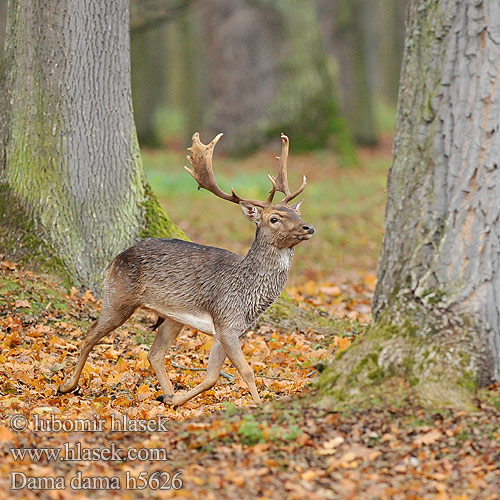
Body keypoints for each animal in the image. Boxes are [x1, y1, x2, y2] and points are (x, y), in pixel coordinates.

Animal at [58, 132, 314, 406]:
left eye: (297, 213)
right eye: (274, 218)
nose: (308, 227)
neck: (247, 295)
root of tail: (116, 258)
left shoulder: (227, 329)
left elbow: (212, 377)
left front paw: (176, 400)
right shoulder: (226, 322)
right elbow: (246, 371)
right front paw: (258, 405)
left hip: (172, 316)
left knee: (154, 353)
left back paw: (168, 396)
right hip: (118, 297)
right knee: (90, 333)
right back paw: (66, 385)